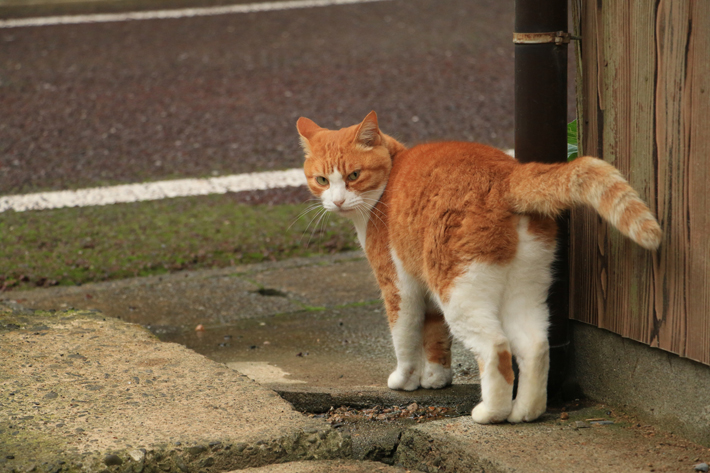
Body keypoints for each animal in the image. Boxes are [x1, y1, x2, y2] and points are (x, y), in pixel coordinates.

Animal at [296, 111, 660, 424]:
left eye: (354, 176)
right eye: (322, 179)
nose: (337, 201)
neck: (390, 177)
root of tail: (509, 174)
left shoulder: (399, 287)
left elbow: (405, 337)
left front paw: (405, 379)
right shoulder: (427, 290)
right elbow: (435, 337)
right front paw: (437, 377)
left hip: (459, 292)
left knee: (497, 349)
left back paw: (491, 413)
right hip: (524, 288)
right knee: (535, 347)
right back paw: (525, 412)